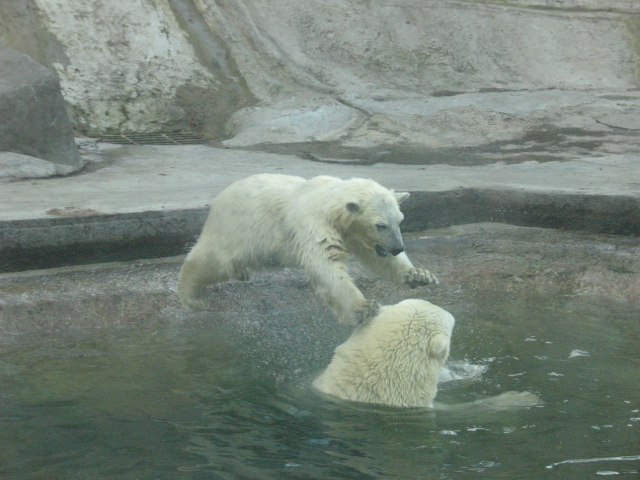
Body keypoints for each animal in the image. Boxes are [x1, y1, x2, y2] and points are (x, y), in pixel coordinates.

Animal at [180, 173, 440, 326]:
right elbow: (326, 263)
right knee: (215, 261)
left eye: (400, 220)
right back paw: (192, 297)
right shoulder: (313, 222)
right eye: (380, 224)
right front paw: (363, 308)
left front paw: (419, 275)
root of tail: (218, 201)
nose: (396, 247)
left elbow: (374, 257)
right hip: (237, 228)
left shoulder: (353, 233)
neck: (330, 204)